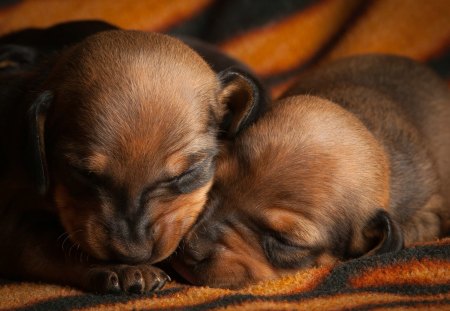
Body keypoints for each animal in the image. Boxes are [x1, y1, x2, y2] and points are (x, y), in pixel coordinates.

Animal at [0, 29, 266, 294]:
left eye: (185, 174)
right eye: (84, 174)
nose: (132, 256)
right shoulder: (14, 226)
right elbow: (58, 248)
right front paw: (121, 270)